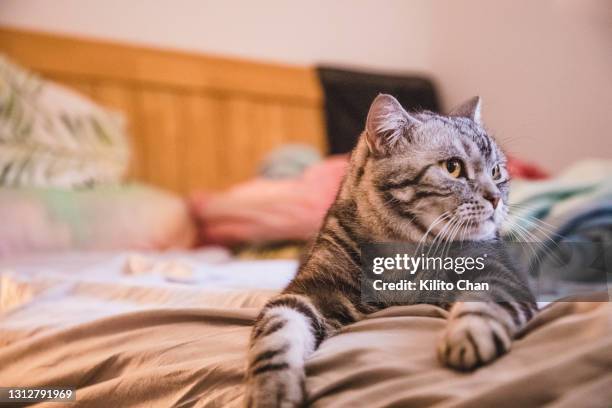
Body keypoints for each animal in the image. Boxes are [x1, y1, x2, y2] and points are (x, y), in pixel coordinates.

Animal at [244, 94, 536, 406]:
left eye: (497, 171)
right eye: (453, 167)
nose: (495, 198)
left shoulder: (501, 273)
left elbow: (484, 303)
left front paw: (466, 336)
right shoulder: (308, 291)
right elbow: (275, 336)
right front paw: (271, 390)